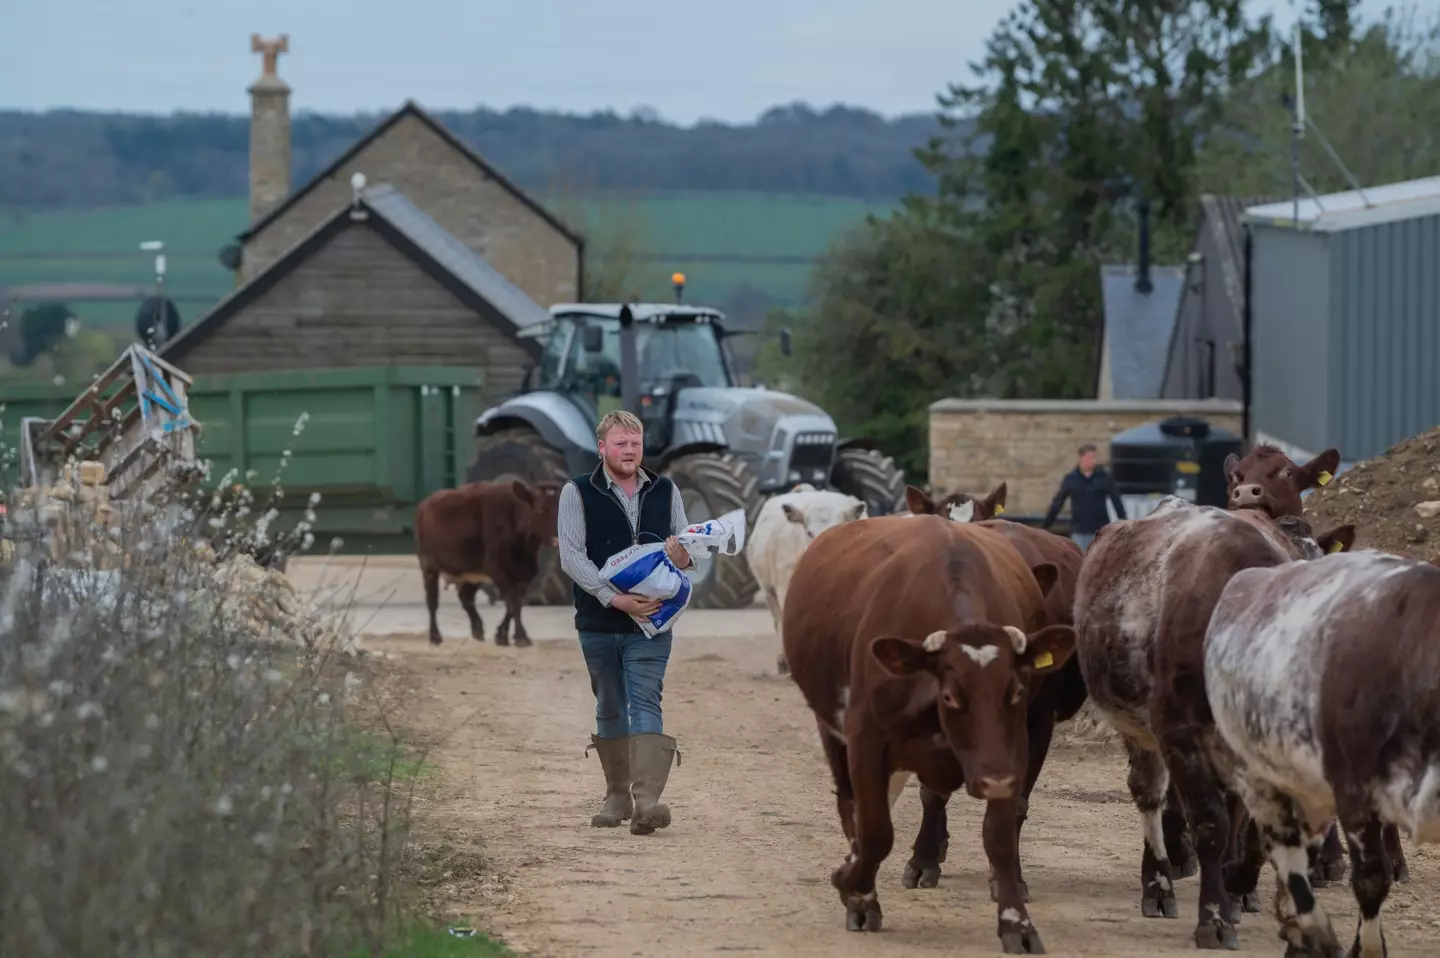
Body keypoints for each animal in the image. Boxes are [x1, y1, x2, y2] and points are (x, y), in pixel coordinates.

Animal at [417, 475, 561, 645]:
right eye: (540, 510)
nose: (557, 539)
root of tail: (425, 503)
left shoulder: (525, 573)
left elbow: (514, 603)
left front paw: (502, 635)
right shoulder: (495, 567)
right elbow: (514, 601)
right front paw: (521, 637)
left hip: (473, 571)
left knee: (465, 597)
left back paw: (477, 629)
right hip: (428, 564)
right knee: (432, 600)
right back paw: (435, 636)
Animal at [783, 507, 1077, 950]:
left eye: (1015, 691)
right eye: (951, 696)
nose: (994, 780)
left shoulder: (1017, 743)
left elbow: (1001, 834)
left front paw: (1017, 924)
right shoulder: (865, 737)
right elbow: (874, 831)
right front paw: (854, 889)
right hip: (831, 728)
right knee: (851, 806)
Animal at [1077, 492, 1353, 950]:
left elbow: (1255, 830)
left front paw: (1239, 888)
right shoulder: (1178, 734)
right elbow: (1211, 823)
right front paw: (1215, 916)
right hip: (1139, 729)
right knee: (1150, 795)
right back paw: (1158, 884)